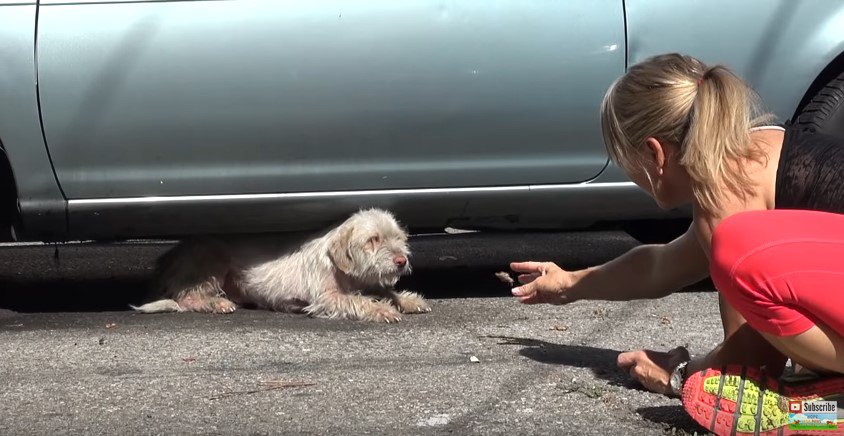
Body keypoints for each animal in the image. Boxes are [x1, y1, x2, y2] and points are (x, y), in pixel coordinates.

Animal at [136, 209, 436, 322]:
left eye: (399, 238)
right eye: (373, 239)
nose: (401, 260)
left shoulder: (366, 281)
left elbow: (386, 291)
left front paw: (408, 300)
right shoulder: (327, 297)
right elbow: (356, 300)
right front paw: (381, 310)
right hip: (210, 258)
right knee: (186, 298)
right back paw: (216, 303)